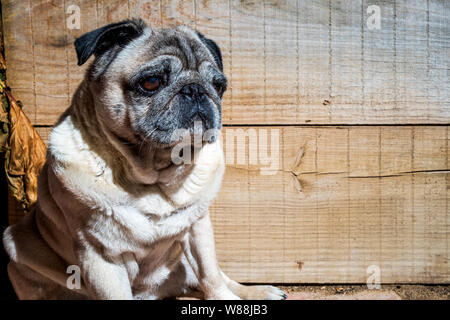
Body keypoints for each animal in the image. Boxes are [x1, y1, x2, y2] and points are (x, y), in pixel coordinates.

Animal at [1, 19, 286, 300]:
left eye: (218, 86)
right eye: (151, 82)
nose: (195, 90)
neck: (154, 175)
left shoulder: (198, 228)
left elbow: (211, 275)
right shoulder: (99, 256)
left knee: (217, 276)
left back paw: (258, 291)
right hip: (17, 245)